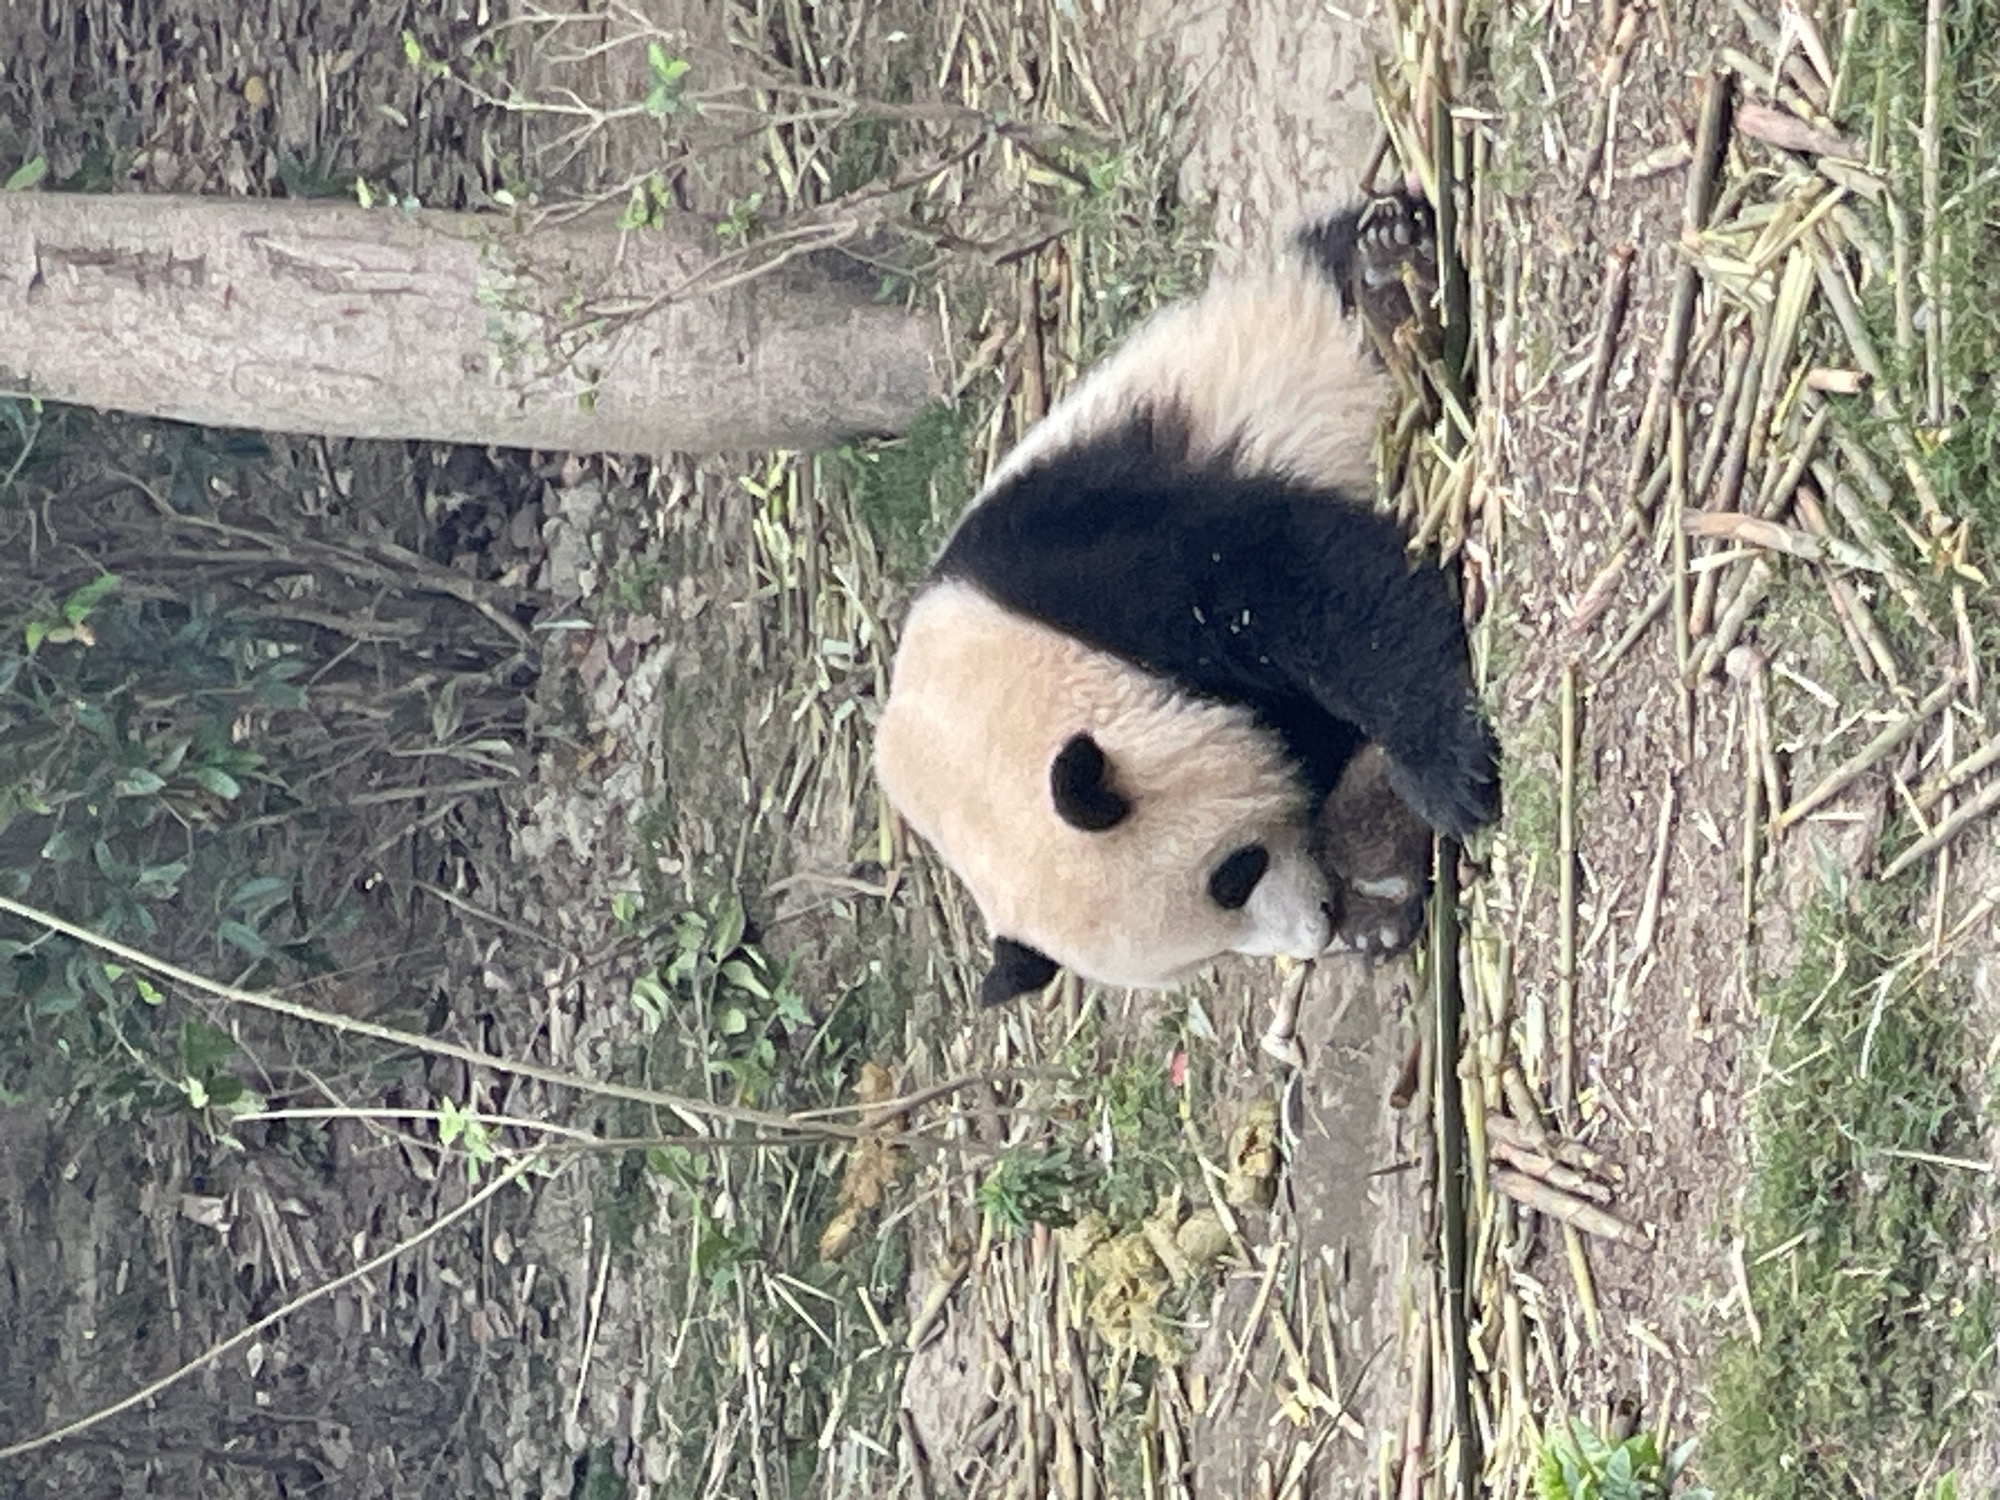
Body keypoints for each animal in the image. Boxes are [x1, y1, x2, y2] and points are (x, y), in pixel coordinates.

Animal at [874, 191, 1498, 1006]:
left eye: (1233, 874)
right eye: (1202, 958)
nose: (1318, 927)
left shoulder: (1090, 560)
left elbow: (1298, 583)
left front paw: (1445, 772)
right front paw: (1375, 877)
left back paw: (1391, 265)